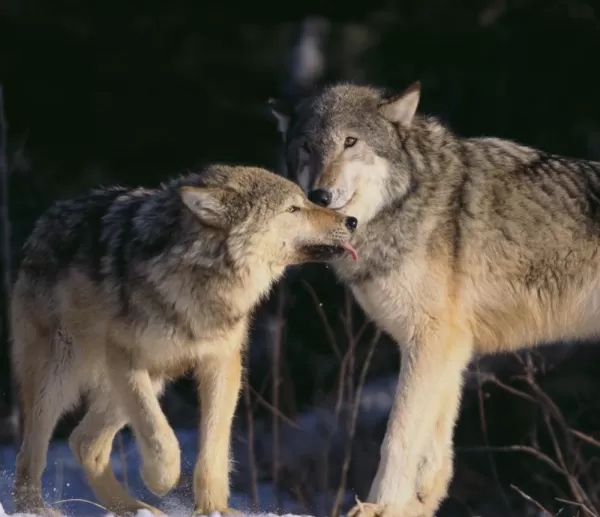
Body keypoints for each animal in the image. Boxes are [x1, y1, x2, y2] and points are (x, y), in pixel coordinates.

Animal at [9, 163, 358, 516]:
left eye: (304, 201)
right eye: (293, 209)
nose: (352, 221)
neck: (199, 276)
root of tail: (45, 219)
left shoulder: (222, 364)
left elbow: (213, 447)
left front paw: (213, 508)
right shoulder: (125, 357)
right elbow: (160, 433)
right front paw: (161, 479)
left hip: (149, 380)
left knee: (84, 442)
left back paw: (137, 509)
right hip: (60, 377)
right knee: (31, 453)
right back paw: (35, 509)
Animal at [270, 81, 600, 516]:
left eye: (350, 141)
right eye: (307, 146)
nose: (319, 195)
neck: (406, 203)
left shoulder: (430, 338)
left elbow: (398, 437)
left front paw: (380, 506)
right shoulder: (447, 347)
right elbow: (434, 451)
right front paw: (415, 504)